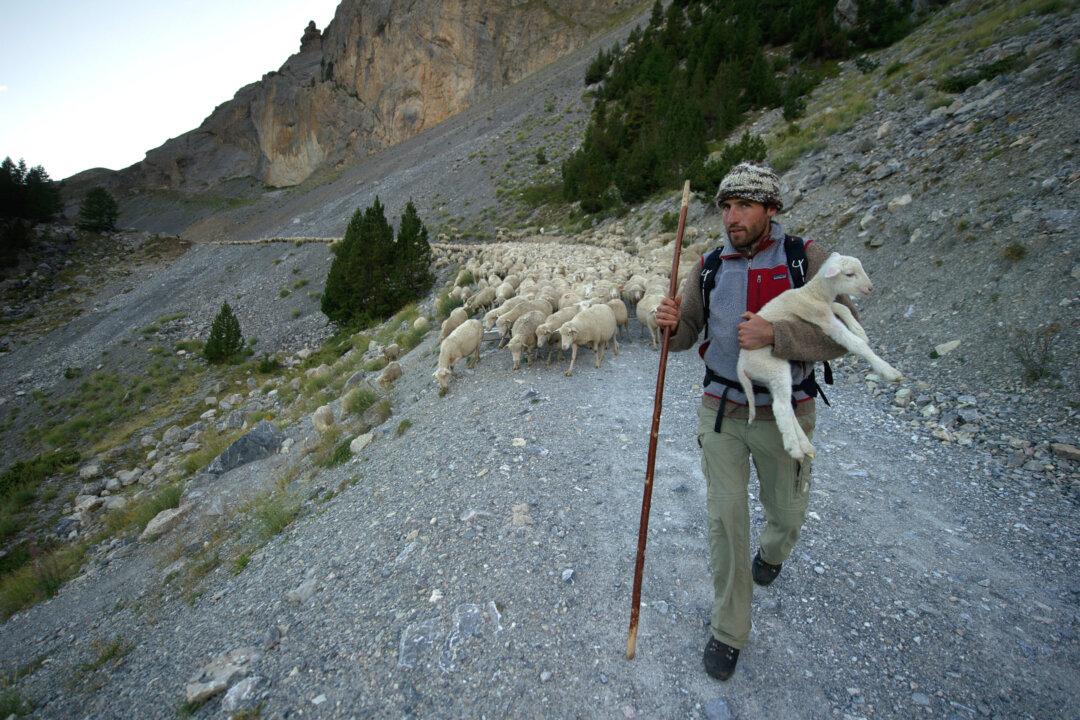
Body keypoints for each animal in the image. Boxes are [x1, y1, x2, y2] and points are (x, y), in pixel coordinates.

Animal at [736, 253, 903, 461]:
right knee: (781, 407)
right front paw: (888, 371)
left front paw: (859, 329)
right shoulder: (823, 319)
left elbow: (841, 307)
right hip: (773, 368)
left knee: (786, 405)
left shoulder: (827, 308)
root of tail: (741, 366)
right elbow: (854, 343)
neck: (813, 294)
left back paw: (805, 446)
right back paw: (795, 448)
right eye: (849, 274)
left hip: (770, 377)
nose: (870, 288)